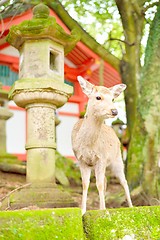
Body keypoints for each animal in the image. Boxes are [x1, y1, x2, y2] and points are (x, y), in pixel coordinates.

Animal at [71, 75, 132, 214]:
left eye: (113, 98)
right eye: (98, 97)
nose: (114, 111)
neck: (88, 145)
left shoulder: (101, 158)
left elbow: (98, 184)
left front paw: (104, 211)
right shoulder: (81, 160)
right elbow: (85, 184)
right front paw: (83, 211)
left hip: (117, 159)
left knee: (124, 181)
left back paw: (132, 207)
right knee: (105, 181)